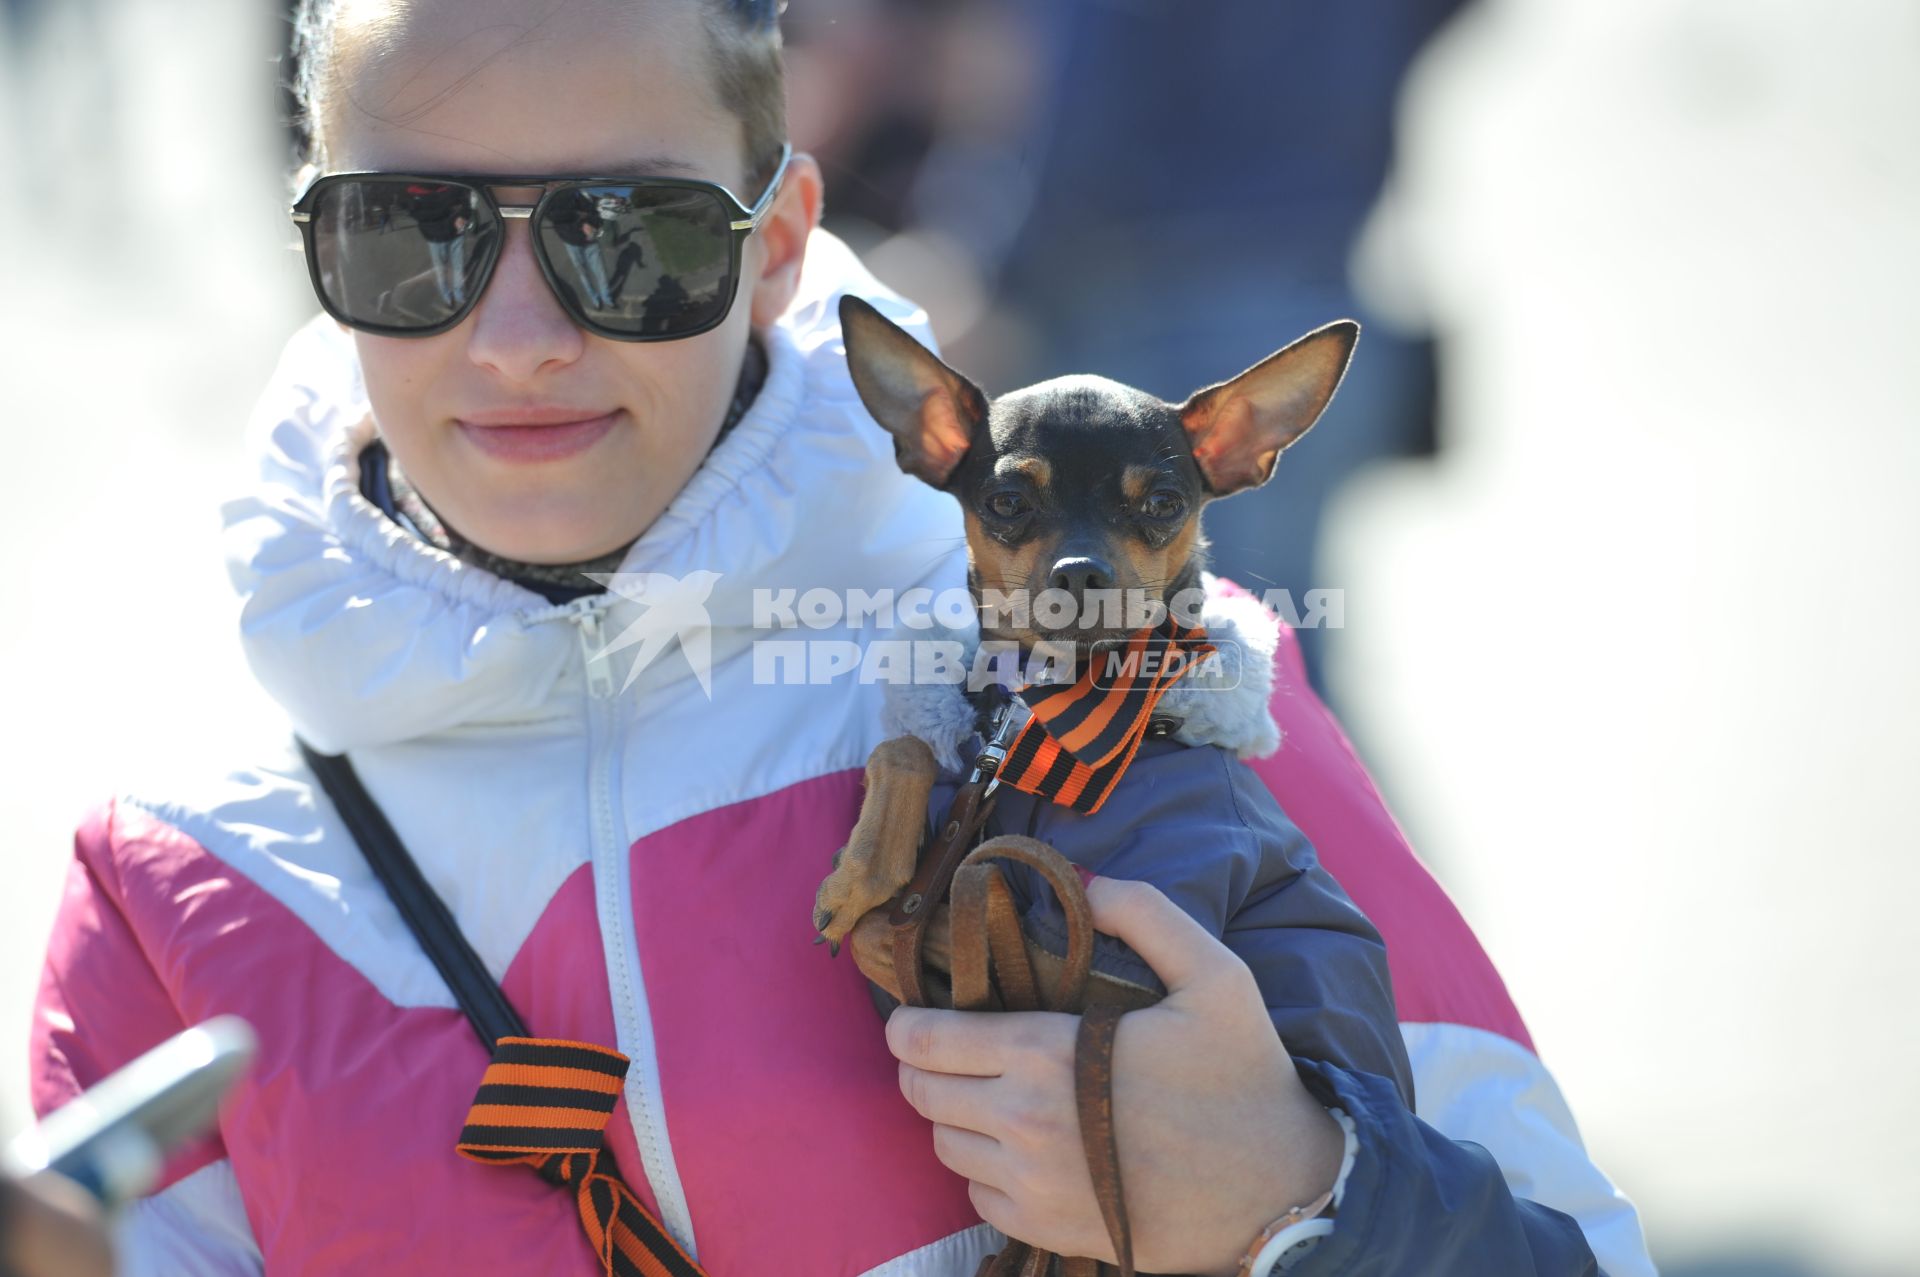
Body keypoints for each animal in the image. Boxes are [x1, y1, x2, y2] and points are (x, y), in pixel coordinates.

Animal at [817, 293, 1359, 952]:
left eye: (1163, 504)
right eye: (1007, 502)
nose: (1079, 572)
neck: (1046, 714)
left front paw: (861, 875)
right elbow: (903, 749)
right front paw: (861, 873)